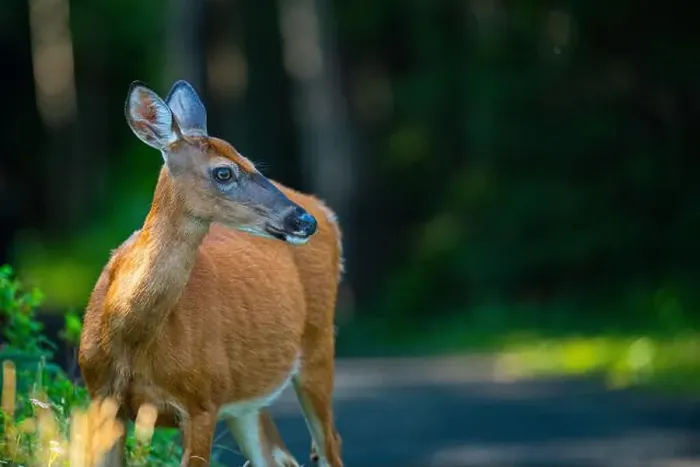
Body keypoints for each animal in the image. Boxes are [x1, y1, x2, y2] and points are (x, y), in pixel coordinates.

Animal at [77, 79, 344, 467]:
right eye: (224, 172)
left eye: (251, 162)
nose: (304, 221)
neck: (131, 337)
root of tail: (326, 210)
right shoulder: (101, 397)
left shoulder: (202, 401)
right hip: (245, 399)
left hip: (319, 341)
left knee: (329, 443)